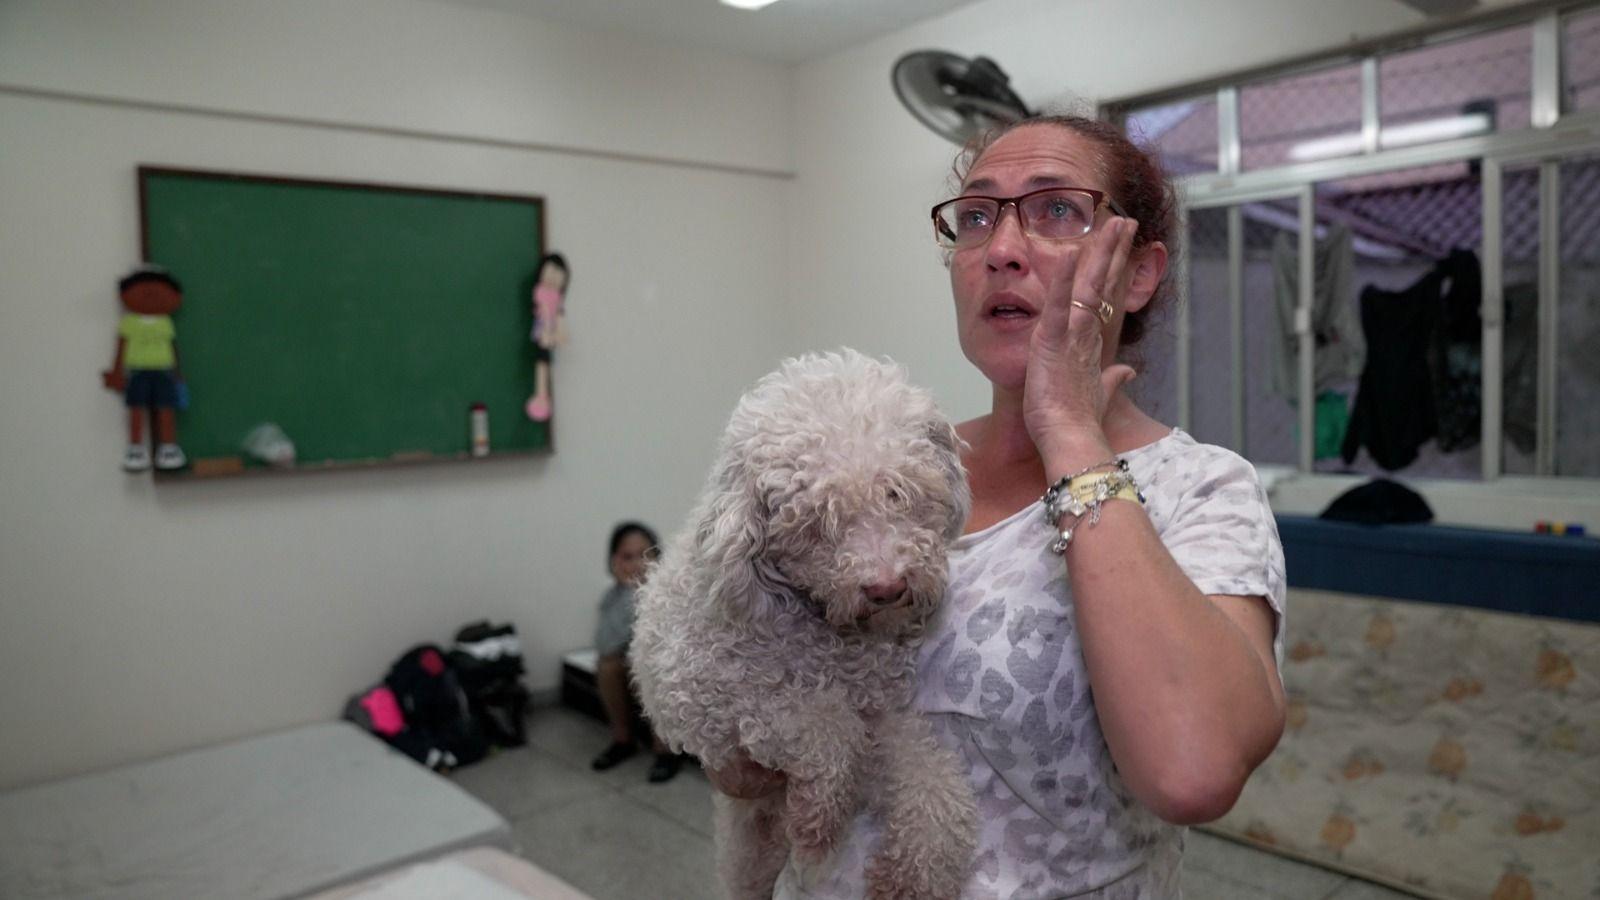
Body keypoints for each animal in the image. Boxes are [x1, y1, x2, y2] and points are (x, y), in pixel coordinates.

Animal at [630, 349, 979, 896]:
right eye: (816, 520)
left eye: (897, 493)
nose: (886, 587)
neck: (825, 633)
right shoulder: (713, 701)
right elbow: (827, 728)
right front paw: (816, 825)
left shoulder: (881, 714)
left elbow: (931, 780)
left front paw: (910, 877)